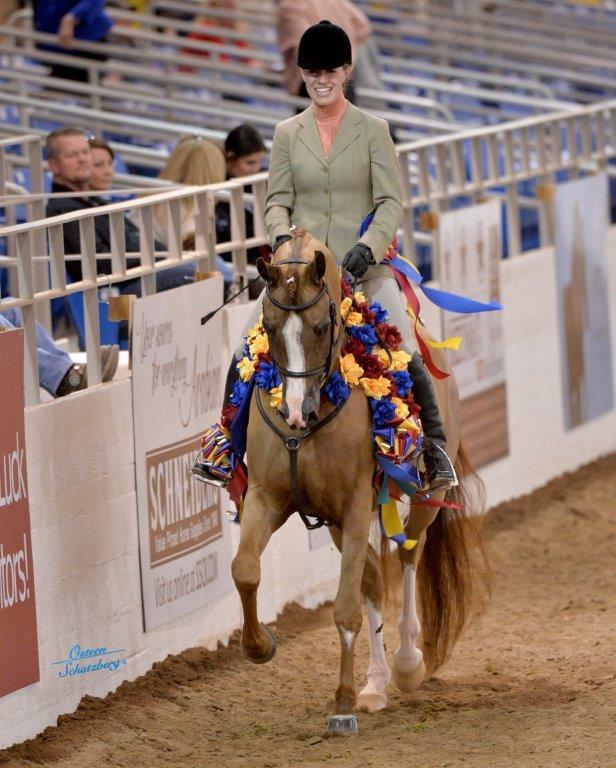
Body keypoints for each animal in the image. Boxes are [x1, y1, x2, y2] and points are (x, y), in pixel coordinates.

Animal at [230, 228, 491, 733]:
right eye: (269, 325)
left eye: (318, 328)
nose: (296, 412)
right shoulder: (268, 500)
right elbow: (245, 570)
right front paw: (260, 646)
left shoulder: (352, 508)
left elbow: (345, 608)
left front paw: (343, 703)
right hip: (338, 523)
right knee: (371, 579)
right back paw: (376, 684)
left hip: (425, 500)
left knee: (407, 555)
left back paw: (407, 664)